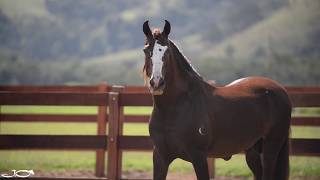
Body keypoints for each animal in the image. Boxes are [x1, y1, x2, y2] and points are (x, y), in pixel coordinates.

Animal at [141, 20, 292, 179]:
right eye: (146, 50)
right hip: (253, 151)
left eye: (167, 51)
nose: (157, 83)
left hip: (271, 148)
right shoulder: (160, 157)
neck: (176, 107)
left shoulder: (199, 157)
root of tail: (280, 89)